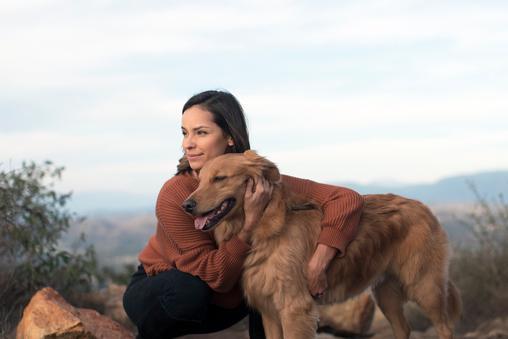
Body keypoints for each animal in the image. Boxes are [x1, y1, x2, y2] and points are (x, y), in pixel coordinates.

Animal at [183, 152, 460, 339]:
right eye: (200, 180)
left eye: (220, 178)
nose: (186, 205)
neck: (265, 226)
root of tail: (423, 207)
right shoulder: (269, 312)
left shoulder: (295, 309)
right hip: (386, 293)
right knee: (403, 328)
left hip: (424, 286)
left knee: (445, 327)